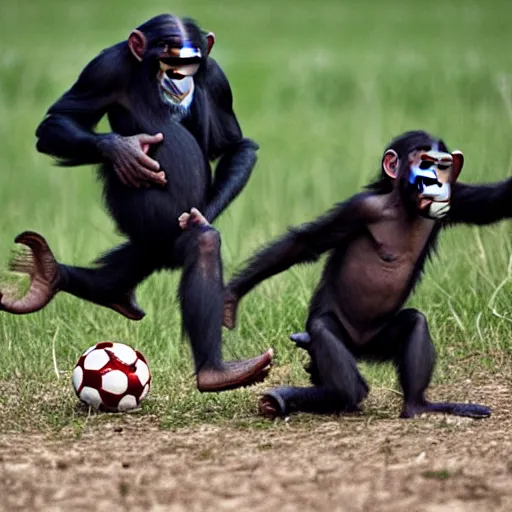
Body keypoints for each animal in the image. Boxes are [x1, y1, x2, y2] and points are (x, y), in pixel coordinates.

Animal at [0, 15, 274, 392]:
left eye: (192, 61)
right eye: (166, 58)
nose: (180, 78)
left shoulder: (218, 80)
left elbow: (235, 145)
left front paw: (201, 215)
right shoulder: (104, 68)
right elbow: (55, 124)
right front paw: (124, 150)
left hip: (158, 240)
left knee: (151, 252)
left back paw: (64, 277)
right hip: (145, 221)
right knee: (192, 244)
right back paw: (215, 372)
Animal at [225, 130, 512, 418]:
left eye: (444, 166)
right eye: (426, 162)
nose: (440, 182)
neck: (403, 207)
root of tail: (359, 349)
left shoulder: (457, 199)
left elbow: (493, 203)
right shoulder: (359, 209)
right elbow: (306, 243)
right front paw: (231, 295)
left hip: (378, 342)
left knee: (415, 322)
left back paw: (418, 405)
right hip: (340, 336)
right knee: (326, 339)